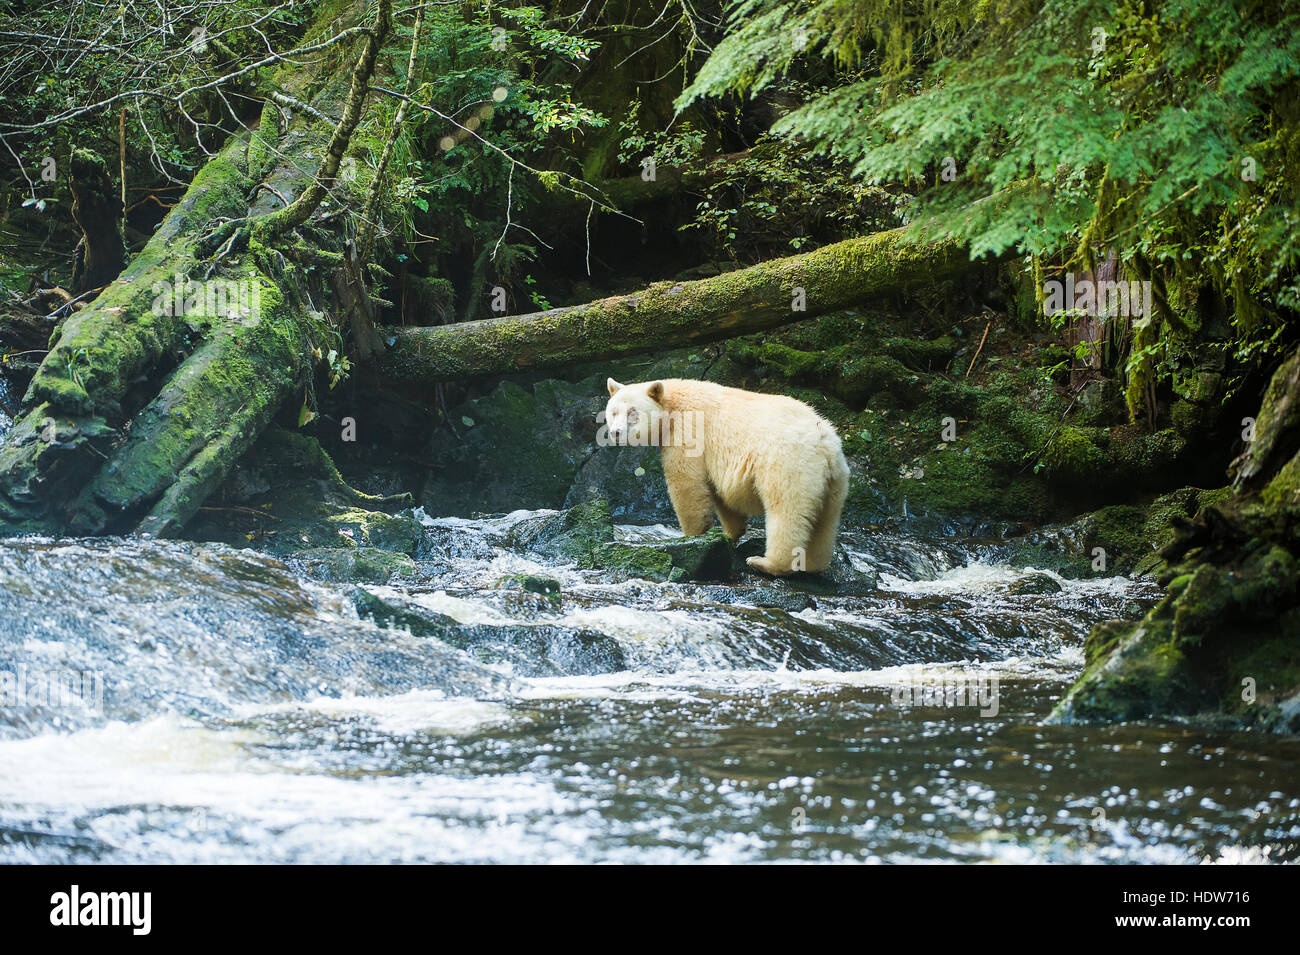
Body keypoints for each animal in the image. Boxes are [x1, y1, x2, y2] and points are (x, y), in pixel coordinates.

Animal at [600, 382, 847, 574]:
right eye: (613, 412)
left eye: (633, 412)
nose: (616, 433)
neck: (672, 405)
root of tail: (824, 442)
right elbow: (722, 496)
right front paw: (729, 534)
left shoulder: (688, 431)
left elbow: (687, 485)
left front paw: (692, 536)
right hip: (834, 479)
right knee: (825, 522)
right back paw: (813, 564)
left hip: (787, 463)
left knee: (786, 511)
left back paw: (766, 563)